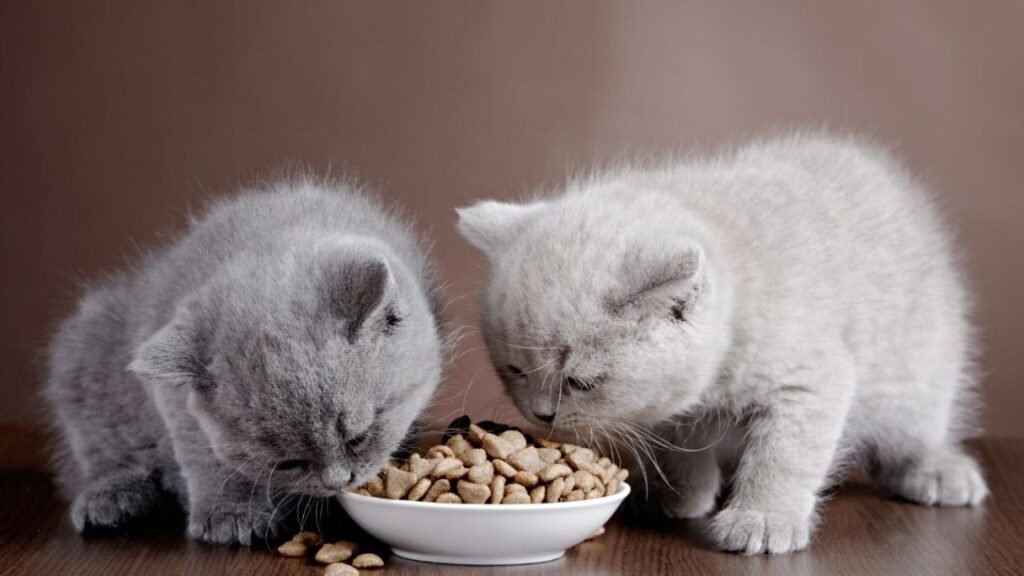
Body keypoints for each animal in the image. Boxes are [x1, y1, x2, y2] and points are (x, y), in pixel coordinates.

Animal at [46, 178, 442, 541]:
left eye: (358, 438)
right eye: (288, 464)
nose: (338, 482)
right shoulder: (175, 401)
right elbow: (203, 454)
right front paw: (229, 514)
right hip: (81, 356)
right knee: (98, 454)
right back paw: (111, 500)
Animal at [456, 132, 983, 553]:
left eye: (581, 382)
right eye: (515, 370)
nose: (540, 414)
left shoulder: (809, 383)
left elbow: (783, 457)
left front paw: (763, 520)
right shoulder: (672, 408)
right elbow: (679, 446)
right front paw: (678, 496)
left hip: (919, 374)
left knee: (917, 431)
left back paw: (939, 471)